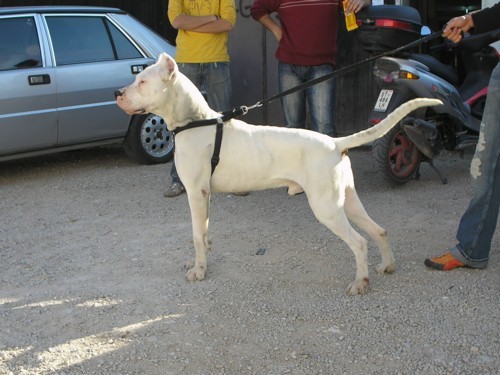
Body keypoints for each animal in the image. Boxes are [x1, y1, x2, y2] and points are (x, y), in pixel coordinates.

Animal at [116, 53, 442, 296]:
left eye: (142, 81)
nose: (118, 93)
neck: (195, 122)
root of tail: (335, 143)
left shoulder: (196, 193)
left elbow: (196, 234)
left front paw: (199, 271)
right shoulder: (205, 196)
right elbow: (204, 232)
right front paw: (202, 260)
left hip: (326, 207)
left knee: (359, 242)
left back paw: (359, 283)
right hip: (346, 201)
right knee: (379, 230)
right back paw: (387, 266)